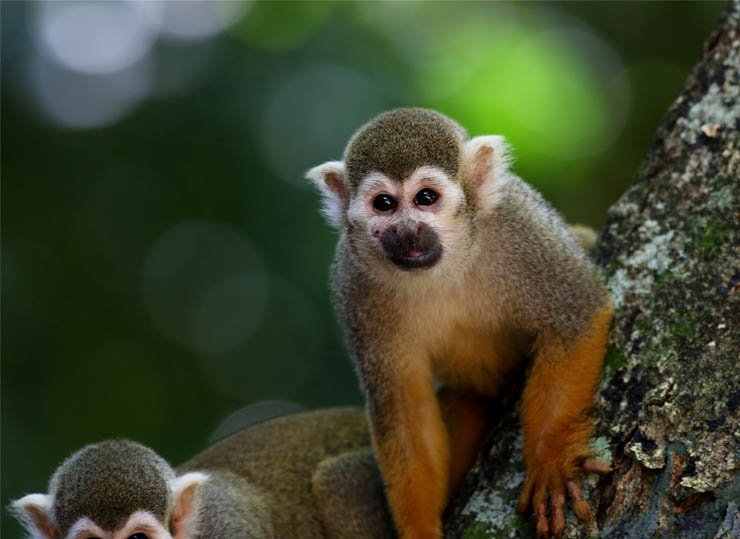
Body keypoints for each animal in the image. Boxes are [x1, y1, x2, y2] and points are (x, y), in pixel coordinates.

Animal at [306, 108, 613, 538]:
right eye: (384, 203)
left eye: (426, 198)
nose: (406, 231)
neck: (445, 266)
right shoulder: (353, 283)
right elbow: (403, 407)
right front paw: (420, 530)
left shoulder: (519, 225)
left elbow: (577, 314)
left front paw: (550, 459)